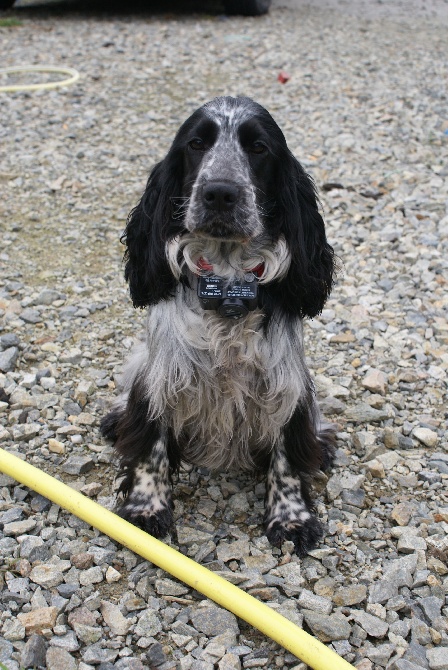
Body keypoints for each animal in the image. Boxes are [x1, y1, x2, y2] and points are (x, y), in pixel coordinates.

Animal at [102, 96, 336, 556]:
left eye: (259, 148)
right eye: (196, 144)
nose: (220, 193)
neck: (226, 280)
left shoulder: (285, 382)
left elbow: (286, 453)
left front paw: (291, 518)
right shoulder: (161, 377)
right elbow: (151, 444)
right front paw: (145, 509)